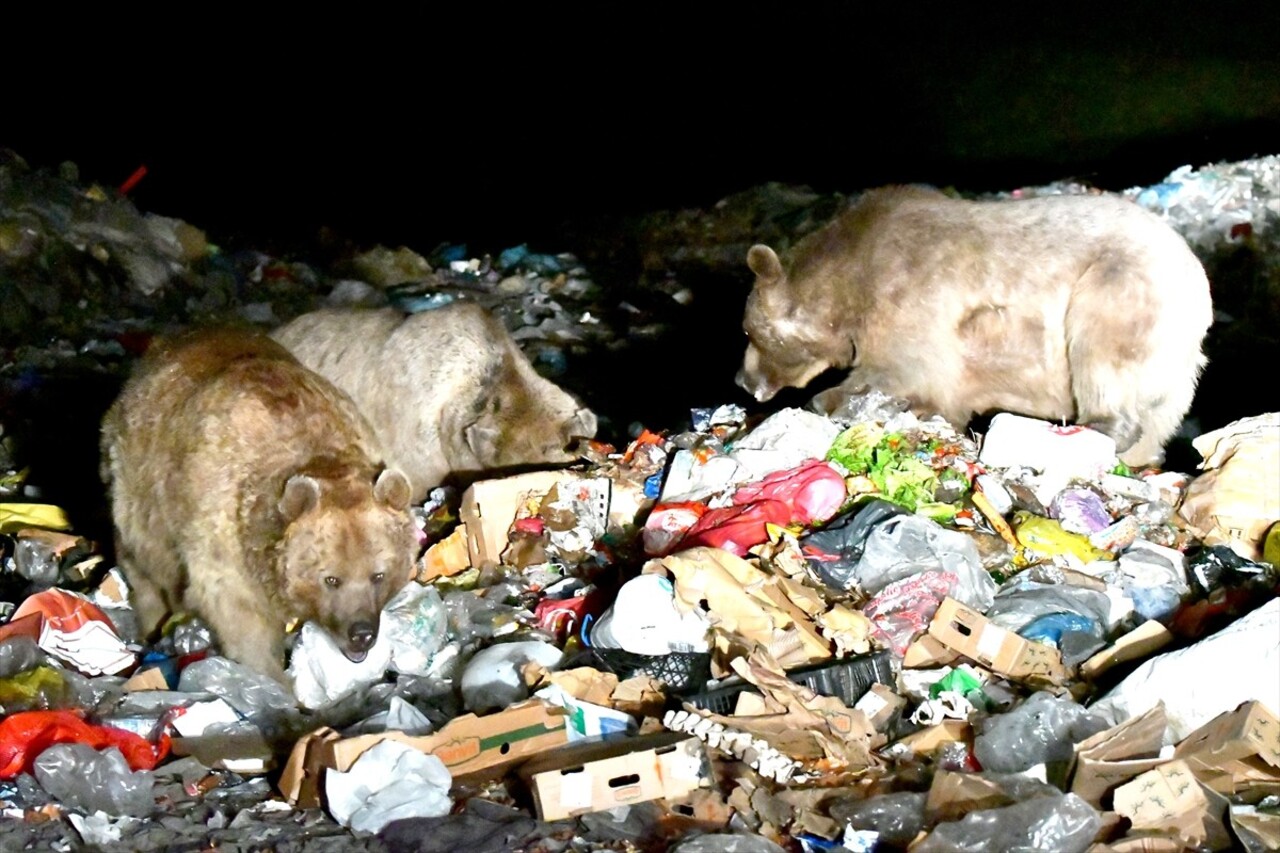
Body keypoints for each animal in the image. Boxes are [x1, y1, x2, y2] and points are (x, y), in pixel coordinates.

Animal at [103, 327, 419, 681]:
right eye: (331, 579)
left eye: (379, 575)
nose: (361, 633)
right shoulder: (220, 524)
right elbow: (241, 619)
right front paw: (275, 680)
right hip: (135, 489)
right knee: (143, 563)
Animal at [737, 184, 1213, 466]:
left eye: (747, 331)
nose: (742, 379)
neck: (846, 281)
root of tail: (1198, 288)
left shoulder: (908, 294)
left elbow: (904, 368)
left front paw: (830, 399)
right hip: (1178, 371)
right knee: (1157, 420)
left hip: (1120, 288)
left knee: (1102, 352)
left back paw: (1093, 428)